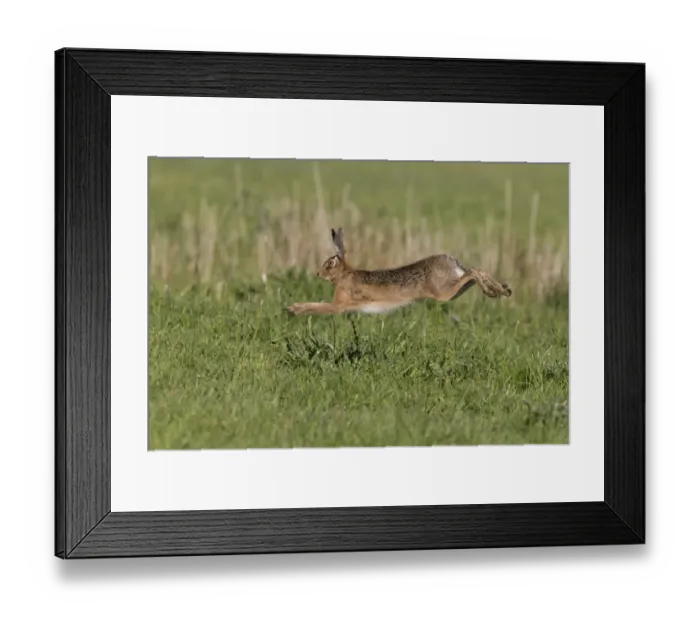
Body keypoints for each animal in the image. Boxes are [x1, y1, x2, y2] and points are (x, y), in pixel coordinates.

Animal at [287, 227, 512, 316]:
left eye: (329, 264)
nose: (318, 274)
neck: (344, 275)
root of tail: (451, 261)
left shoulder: (339, 304)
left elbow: (319, 306)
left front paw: (294, 309)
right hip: (453, 290)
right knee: (475, 272)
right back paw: (501, 290)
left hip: (443, 292)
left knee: (473, 272)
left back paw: (495, 290)